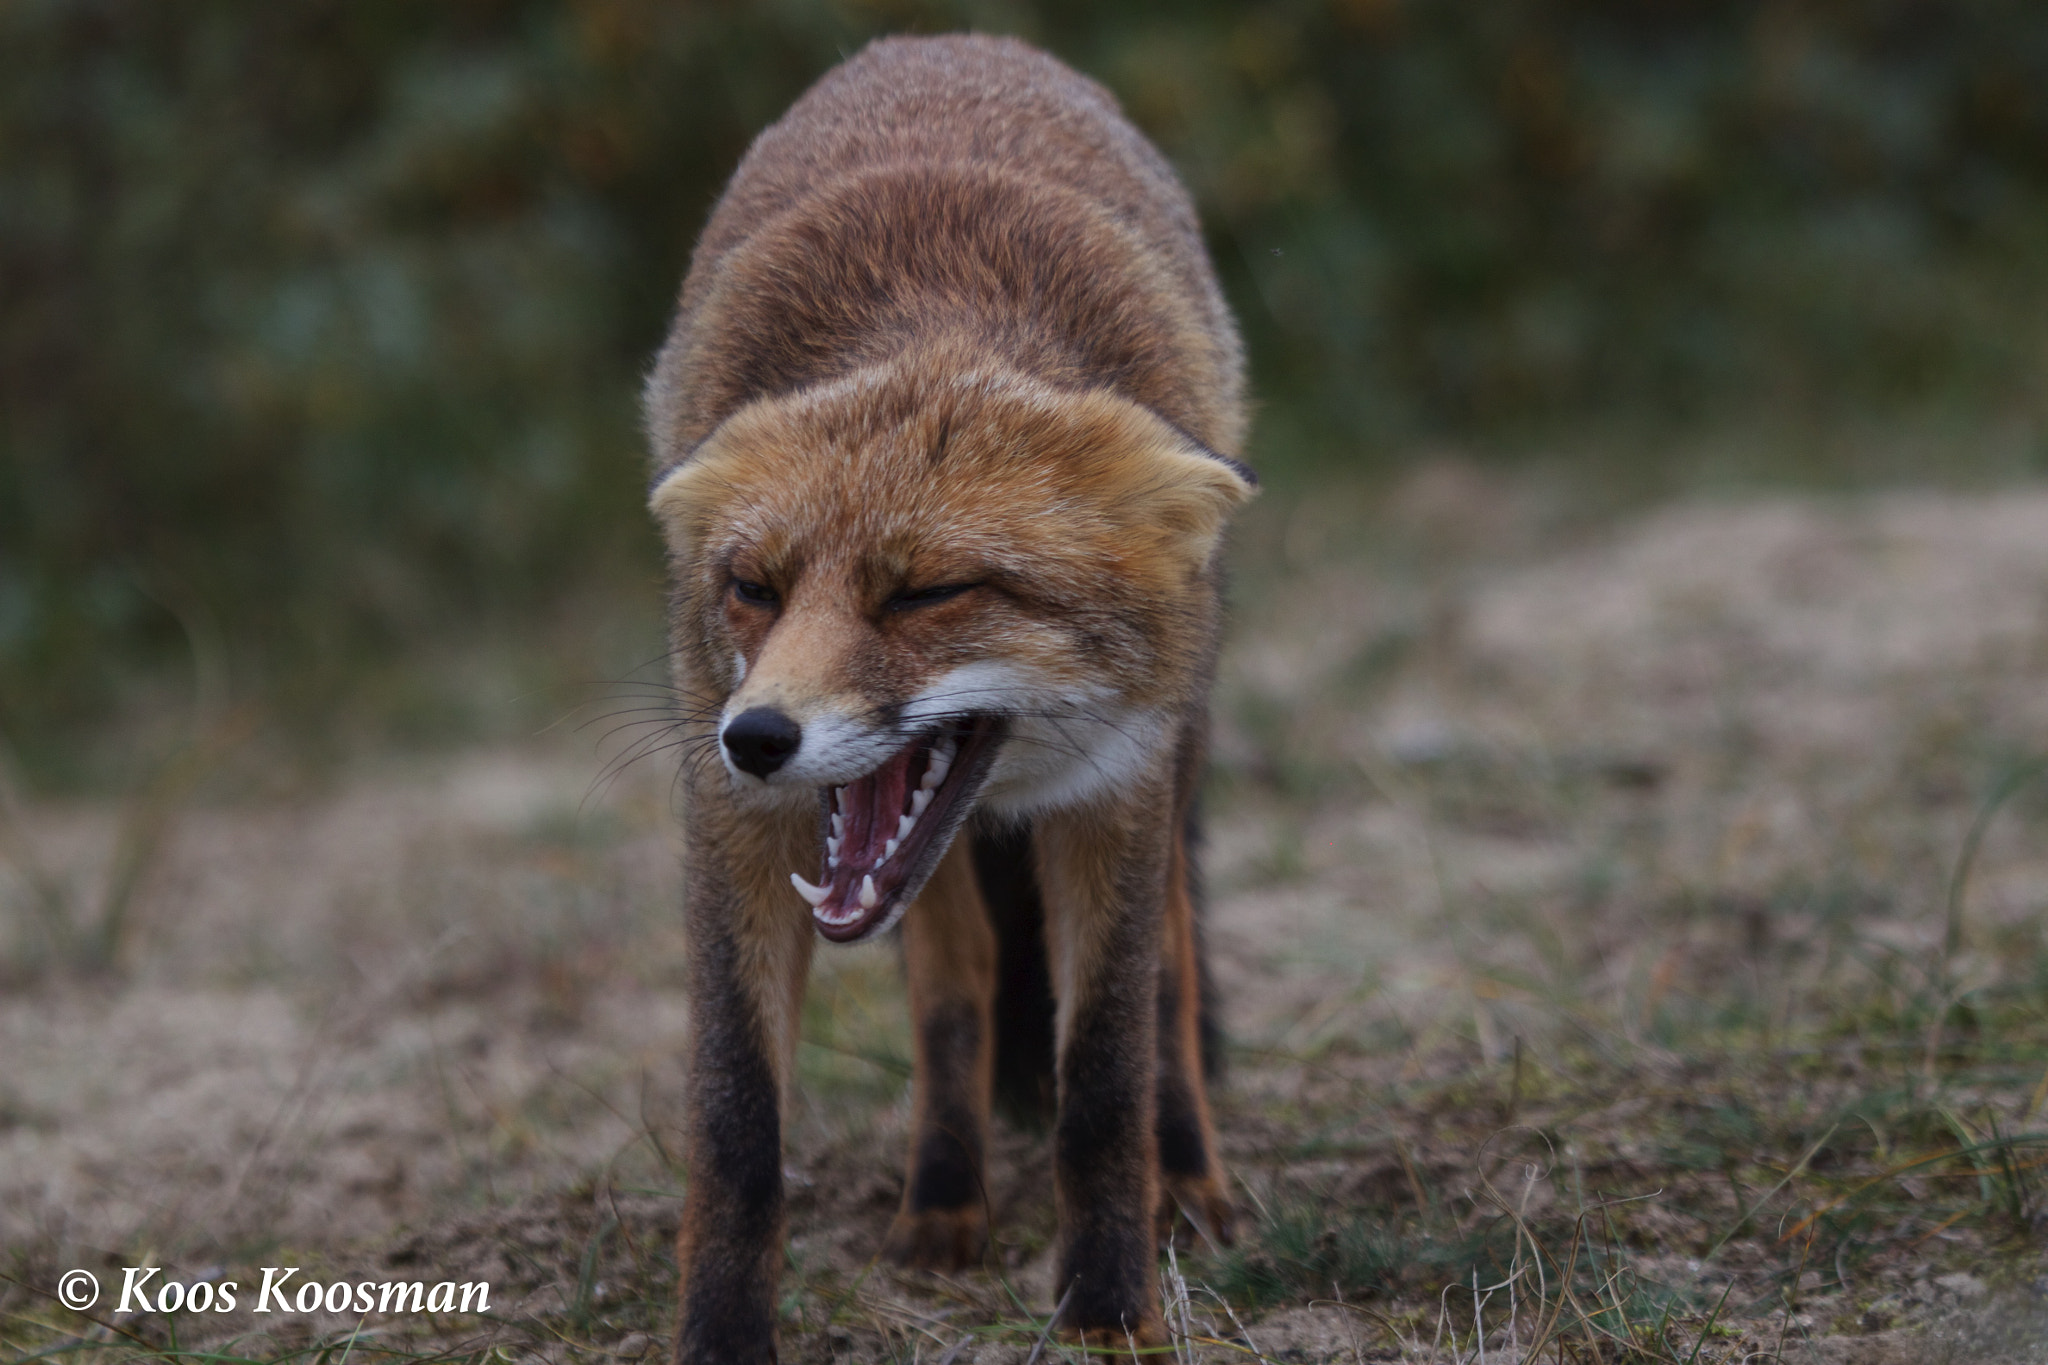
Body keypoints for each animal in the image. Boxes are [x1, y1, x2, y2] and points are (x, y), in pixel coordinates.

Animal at [642, 33, 1254, 1362]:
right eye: (752, 589)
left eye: (924, 592)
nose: (754, 736)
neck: (934, 319)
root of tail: (944, 42)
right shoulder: (734, 828)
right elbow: (734, 1126)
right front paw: (721, 1337)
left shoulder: (1116, 787)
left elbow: (1102, 1081)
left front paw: (1107, 1311)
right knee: (955, 983)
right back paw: (941, 1198)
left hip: (1178, 749)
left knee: (1174, 969)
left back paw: (1189, 1180)